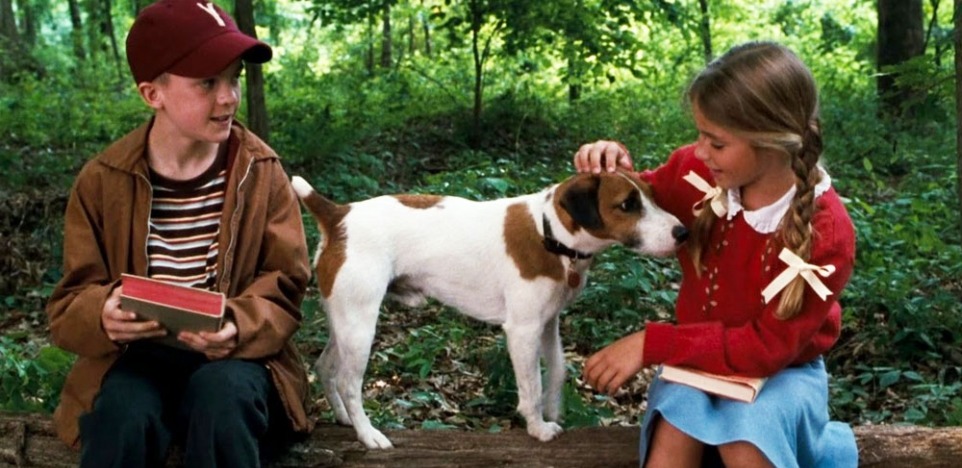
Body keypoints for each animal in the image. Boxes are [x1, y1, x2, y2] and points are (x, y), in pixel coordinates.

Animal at [288, 170, 688, 448]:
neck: (550, 232)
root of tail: (339, 215)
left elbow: (557, 370)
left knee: (325, 367)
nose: (682, 233)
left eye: (651, 196)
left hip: (344, 321)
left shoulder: (548, 323)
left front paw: (554, 408)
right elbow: (531, 384)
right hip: (360, 324)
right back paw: (367, 433)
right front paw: (537, 426)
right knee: (348, 381)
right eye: (627, 205)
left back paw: (343, 419)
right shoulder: (523, 330)